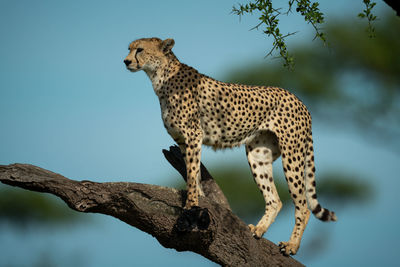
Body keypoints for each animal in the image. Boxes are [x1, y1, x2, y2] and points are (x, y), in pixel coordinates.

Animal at [123, 37, 336, 255]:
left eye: (140, 50)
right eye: (129, 49)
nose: (126, 61)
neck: (160, 76)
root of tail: (300, 101)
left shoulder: (193, 135)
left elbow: (191, 172)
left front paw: (191, 204)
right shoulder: (183, 140)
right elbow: (193, 171)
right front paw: (200, 197)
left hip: (292, 154)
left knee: (303, 206)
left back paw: (292, 245)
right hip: (258, 155)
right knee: (275, 200)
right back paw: (259, 229)